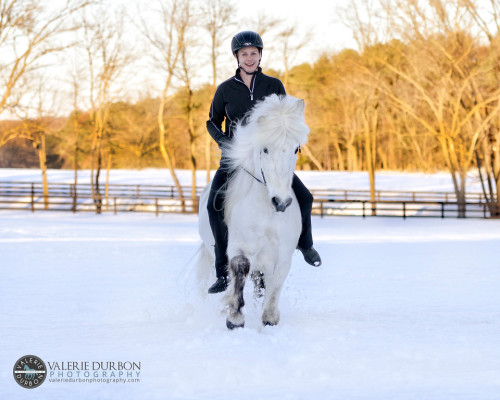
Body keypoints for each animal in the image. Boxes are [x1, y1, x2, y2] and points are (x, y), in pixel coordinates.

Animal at [198, 94, 308, 328]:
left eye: (296, 149)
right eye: (264, 149)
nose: (281, 202)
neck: (268, 213)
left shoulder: (282, 256)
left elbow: (273, 290)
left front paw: (269, 318)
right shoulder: (239, 248)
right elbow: (239, 270)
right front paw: (235, 318)